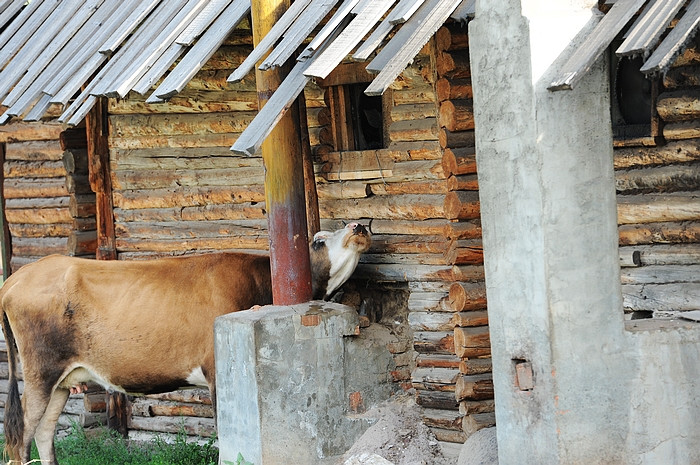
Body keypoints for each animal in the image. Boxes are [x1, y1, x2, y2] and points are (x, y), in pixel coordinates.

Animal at [1, 223, 372, 462]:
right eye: (319, 240)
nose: (359, 226)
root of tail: (17, 278)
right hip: (41, 371)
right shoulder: (217, 370)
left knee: (44, 434)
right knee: (20, 439)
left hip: (62, 379)